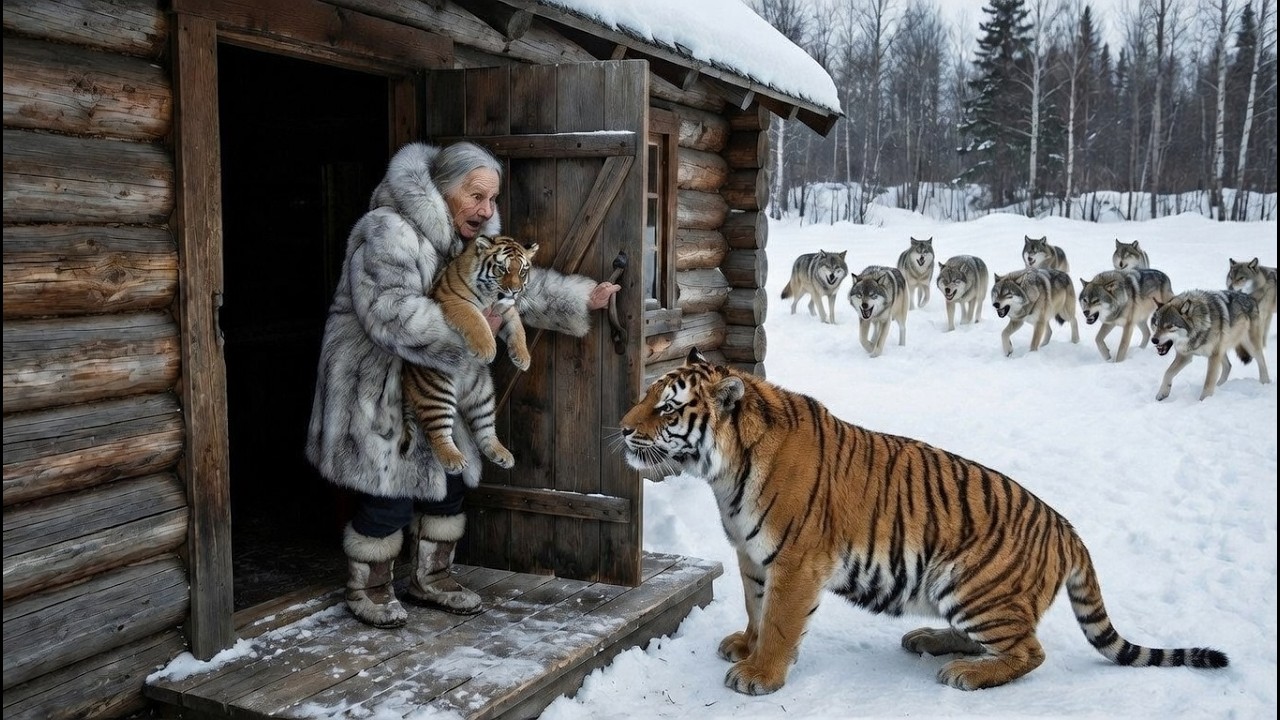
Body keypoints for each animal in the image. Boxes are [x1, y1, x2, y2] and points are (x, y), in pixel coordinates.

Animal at [401, 234, 539, 471]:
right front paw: (486, 350)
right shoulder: (456, 300)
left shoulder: (507, 310)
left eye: (522, 271)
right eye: (502, 269)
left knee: (485, 431)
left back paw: (501, 453)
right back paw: (454, 459)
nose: (515, 290)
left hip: (483, 395)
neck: (493, 298)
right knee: (436, 432)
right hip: (436, 391)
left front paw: (522, 358)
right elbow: (476, 320)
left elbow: (518, 329)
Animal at [617, 348, 1228, 695]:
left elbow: (782, 621)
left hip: (970, 583)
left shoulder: (796, 561)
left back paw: (965, 674)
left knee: (1028, 651)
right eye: (647, 396)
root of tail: (1067, 528)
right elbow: (755, 606)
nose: (622, 429)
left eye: (667, 407)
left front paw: (759, 674)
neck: (724, 474)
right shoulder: (751, 554)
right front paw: (746, 645)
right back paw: (929, 639)